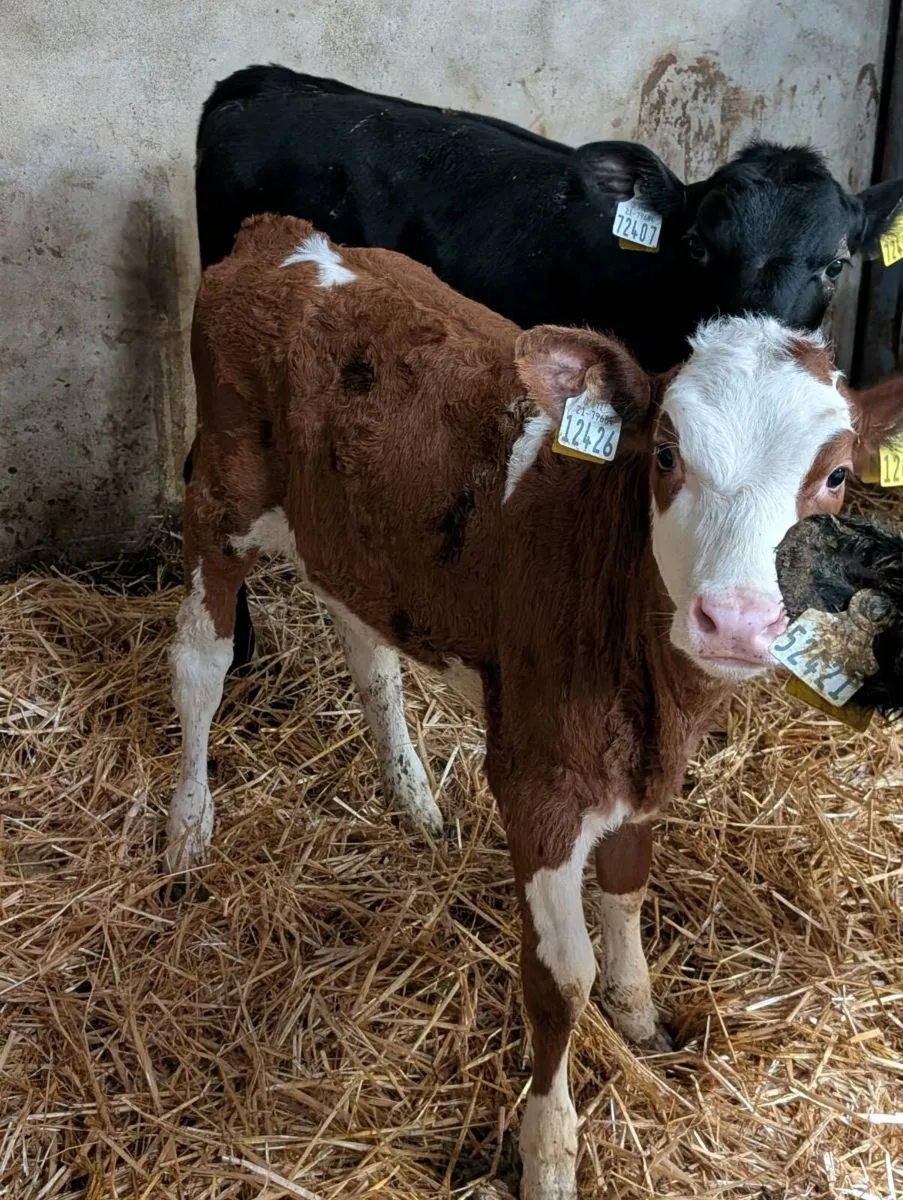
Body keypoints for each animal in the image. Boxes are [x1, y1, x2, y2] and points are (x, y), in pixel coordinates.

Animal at [166, 214, 903, 1200]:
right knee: (199, 663)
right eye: (664, 455)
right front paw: (549, 1149)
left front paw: (640, 1016)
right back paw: (187, 826)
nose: (736, 619)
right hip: (222, 498)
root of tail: (283, 236)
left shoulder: (639, 765)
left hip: (354, 538)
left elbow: (626, 889)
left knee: (369, 654)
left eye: (835, 478)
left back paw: (414, 799)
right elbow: (560, 980)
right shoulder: (539, 782)